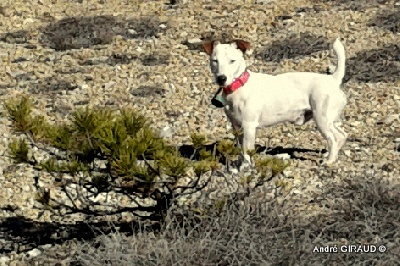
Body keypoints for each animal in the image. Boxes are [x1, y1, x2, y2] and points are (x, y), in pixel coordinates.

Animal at [203, 38, 346, 165]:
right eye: (215, 61)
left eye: (232, 61)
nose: (221, 78)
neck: (238, 87)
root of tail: (333, 79)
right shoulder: (236, 127)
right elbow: (240, 149)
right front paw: (238, 164)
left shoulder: (248, 126)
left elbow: (246, 151)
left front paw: (245, 167)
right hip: (331, 121)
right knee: (342, 135)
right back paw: (330, 155)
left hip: (322, 119)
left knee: (334, 138)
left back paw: (329, 160)